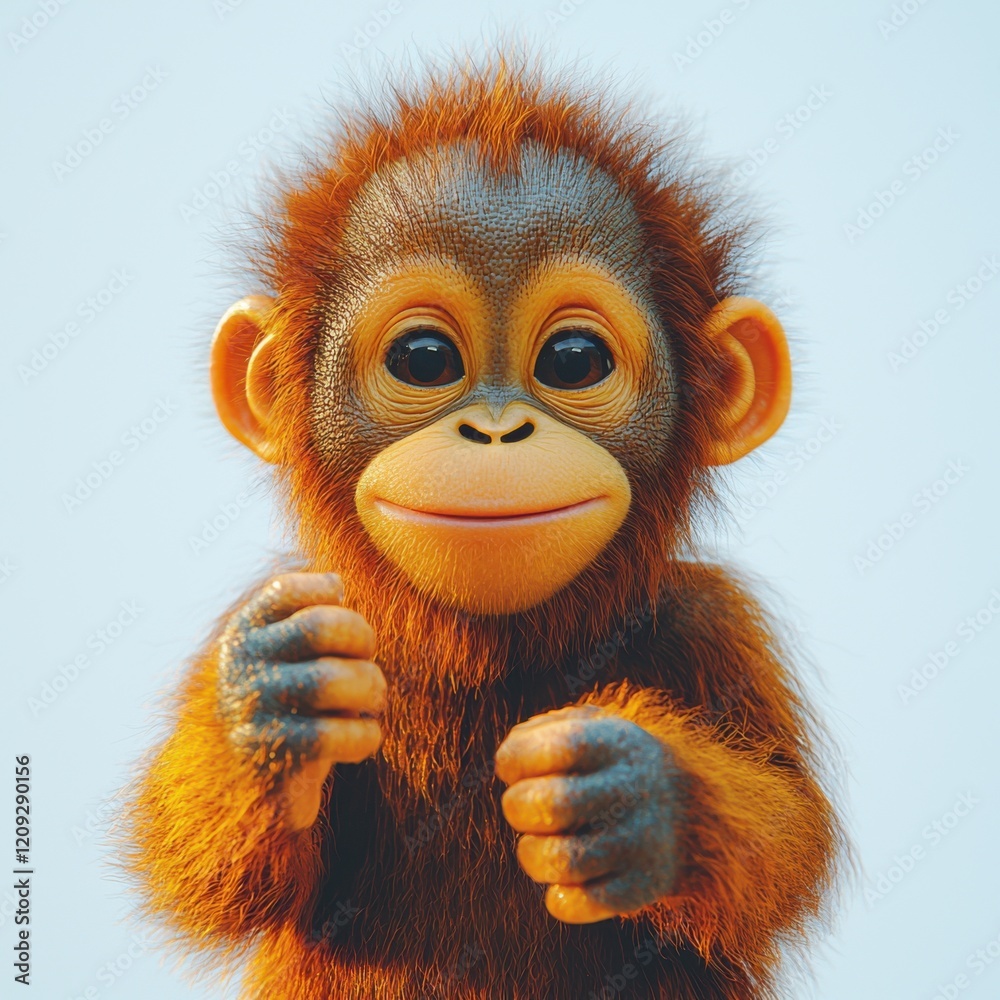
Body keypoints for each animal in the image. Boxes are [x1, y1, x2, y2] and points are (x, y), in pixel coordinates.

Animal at [120, 51, 842, 1000]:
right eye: (424, 359)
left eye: (574, 361)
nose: (496, 433)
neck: (488, 653)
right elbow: (216, 880)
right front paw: (267, 704)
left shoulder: (713, 620)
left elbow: (791, 841)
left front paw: (635, 797)